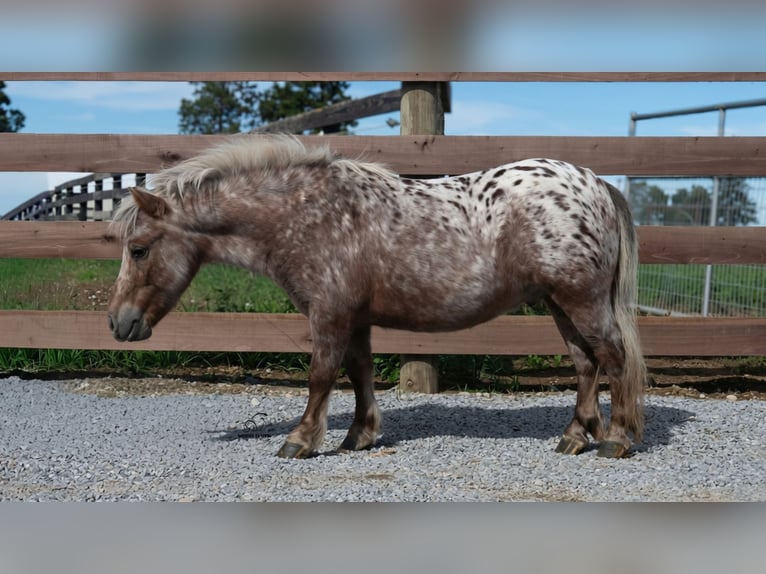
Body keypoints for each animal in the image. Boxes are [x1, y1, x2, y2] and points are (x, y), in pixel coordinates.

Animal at [108, 135, 646, 459]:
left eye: (138, 249)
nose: (118, 323)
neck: (305, 214)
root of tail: (596, 182)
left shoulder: (329, 315)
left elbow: (321, 375)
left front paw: (300, 440)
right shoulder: (355, 319)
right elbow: (359, 372)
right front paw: (358, 435)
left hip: (580, 300)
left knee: (614, 357)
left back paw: (616, 439)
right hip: (560, 303)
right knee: (586, 364)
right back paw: (575, 436)